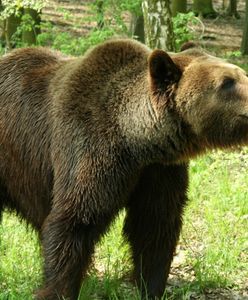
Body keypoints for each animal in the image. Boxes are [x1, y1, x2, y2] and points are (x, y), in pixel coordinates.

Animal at [0, 38, 248, 300]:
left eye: (241, 73)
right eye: (227, 82)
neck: (137, 142)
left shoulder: (159, 171)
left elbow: (154, 226)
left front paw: (151, 287)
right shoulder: (88, 148)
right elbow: (75, 221)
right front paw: (57, 290)